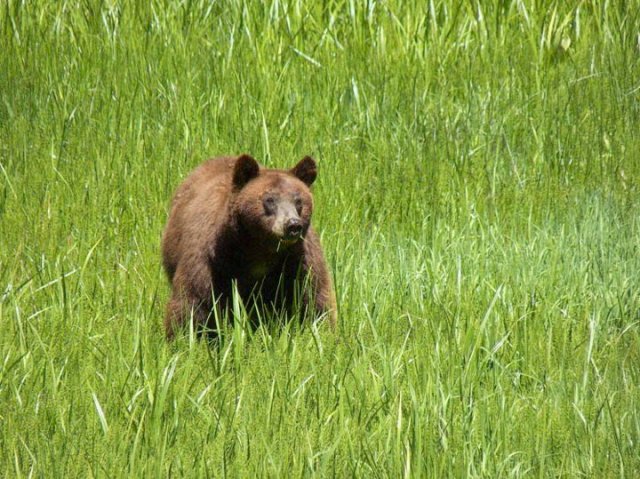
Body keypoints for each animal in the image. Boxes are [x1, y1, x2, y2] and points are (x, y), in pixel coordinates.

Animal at [161, 154, 337, 339]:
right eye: (269, 200)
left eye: (299, 201)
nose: (293, 225)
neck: (260, 249)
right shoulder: (211, 262)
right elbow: (193, 302)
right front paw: (184, 337)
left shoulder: (298, 262)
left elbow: (314, 299)